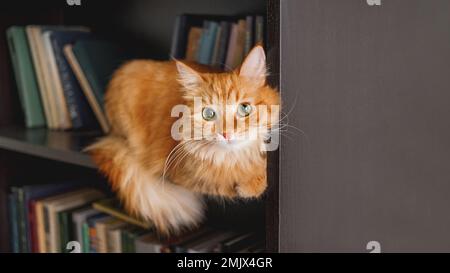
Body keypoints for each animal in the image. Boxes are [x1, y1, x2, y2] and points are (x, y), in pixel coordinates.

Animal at [86, 45, 280, 233]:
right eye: (208, 114)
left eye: (244, 108)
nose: (226, 134)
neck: (236, 158)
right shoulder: (186, 177)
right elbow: (221, 184)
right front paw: (249, 185)